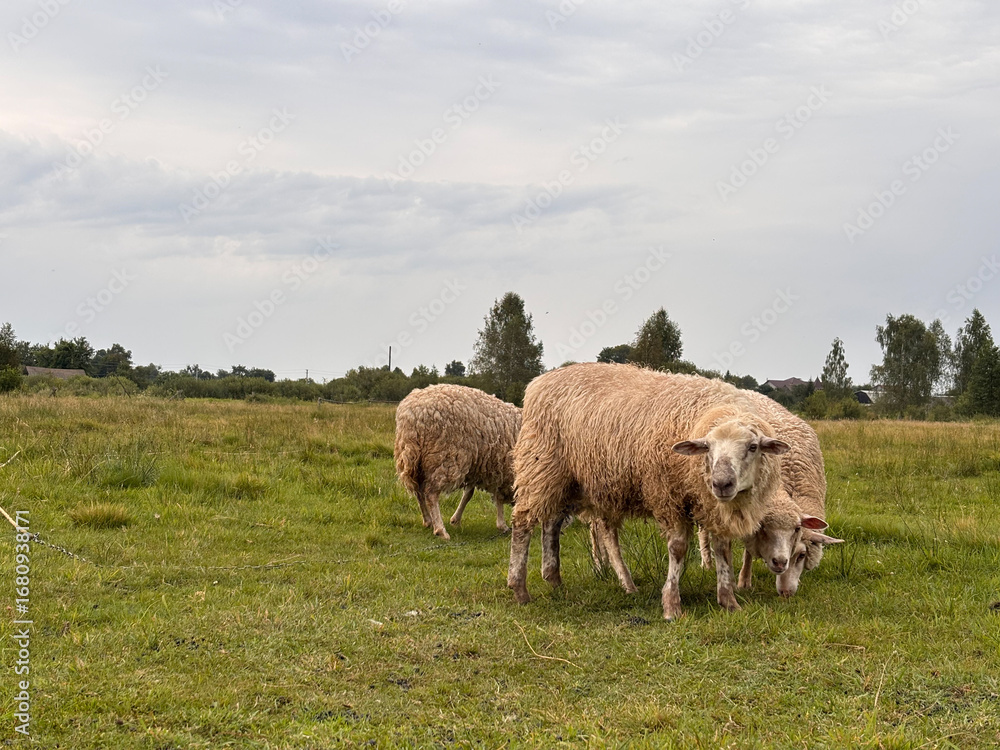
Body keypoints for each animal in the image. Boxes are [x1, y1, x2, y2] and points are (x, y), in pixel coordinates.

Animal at [394, 384, 520, 540]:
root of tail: (414, 414)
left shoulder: (478, 466)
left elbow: (468, 494)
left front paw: (456, 519)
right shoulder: (502, 469)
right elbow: (499, 498)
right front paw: (502, 525)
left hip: (417, 461)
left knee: (419, 491)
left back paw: (428, 520)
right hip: (444, 457)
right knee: (430, 493)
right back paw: (440, 530)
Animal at [507, 363, 790, 620]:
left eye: (753, 447)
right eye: (707, 447)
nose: (721, 483)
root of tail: (539, 382)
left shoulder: (710, 505)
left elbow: (722, 549)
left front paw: (728, 600)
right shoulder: (667, 495)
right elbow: (677, 548)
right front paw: (671, 605)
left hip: (570, 481)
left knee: (552, 523)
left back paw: (553, 578)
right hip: (540, 466)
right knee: (523, 523)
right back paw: (519, 588)